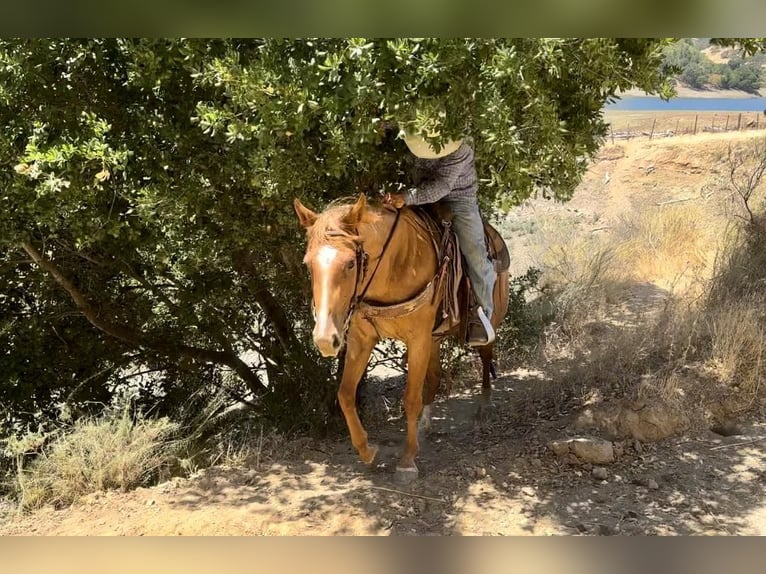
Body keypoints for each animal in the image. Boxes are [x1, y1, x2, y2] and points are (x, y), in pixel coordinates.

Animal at [294, 195, 510, 486]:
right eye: (308, 264)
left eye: (350, 263)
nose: (326, 339)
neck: (394, 267)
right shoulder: (362, 340)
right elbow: (345, 394)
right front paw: (366, 451)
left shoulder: (416, 339)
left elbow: (409, 399)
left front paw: (407, 461)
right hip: (433, 339)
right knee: (434, 376)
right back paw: (425, 424)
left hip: (488, 319)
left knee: (486, 355)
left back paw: (484, 406)